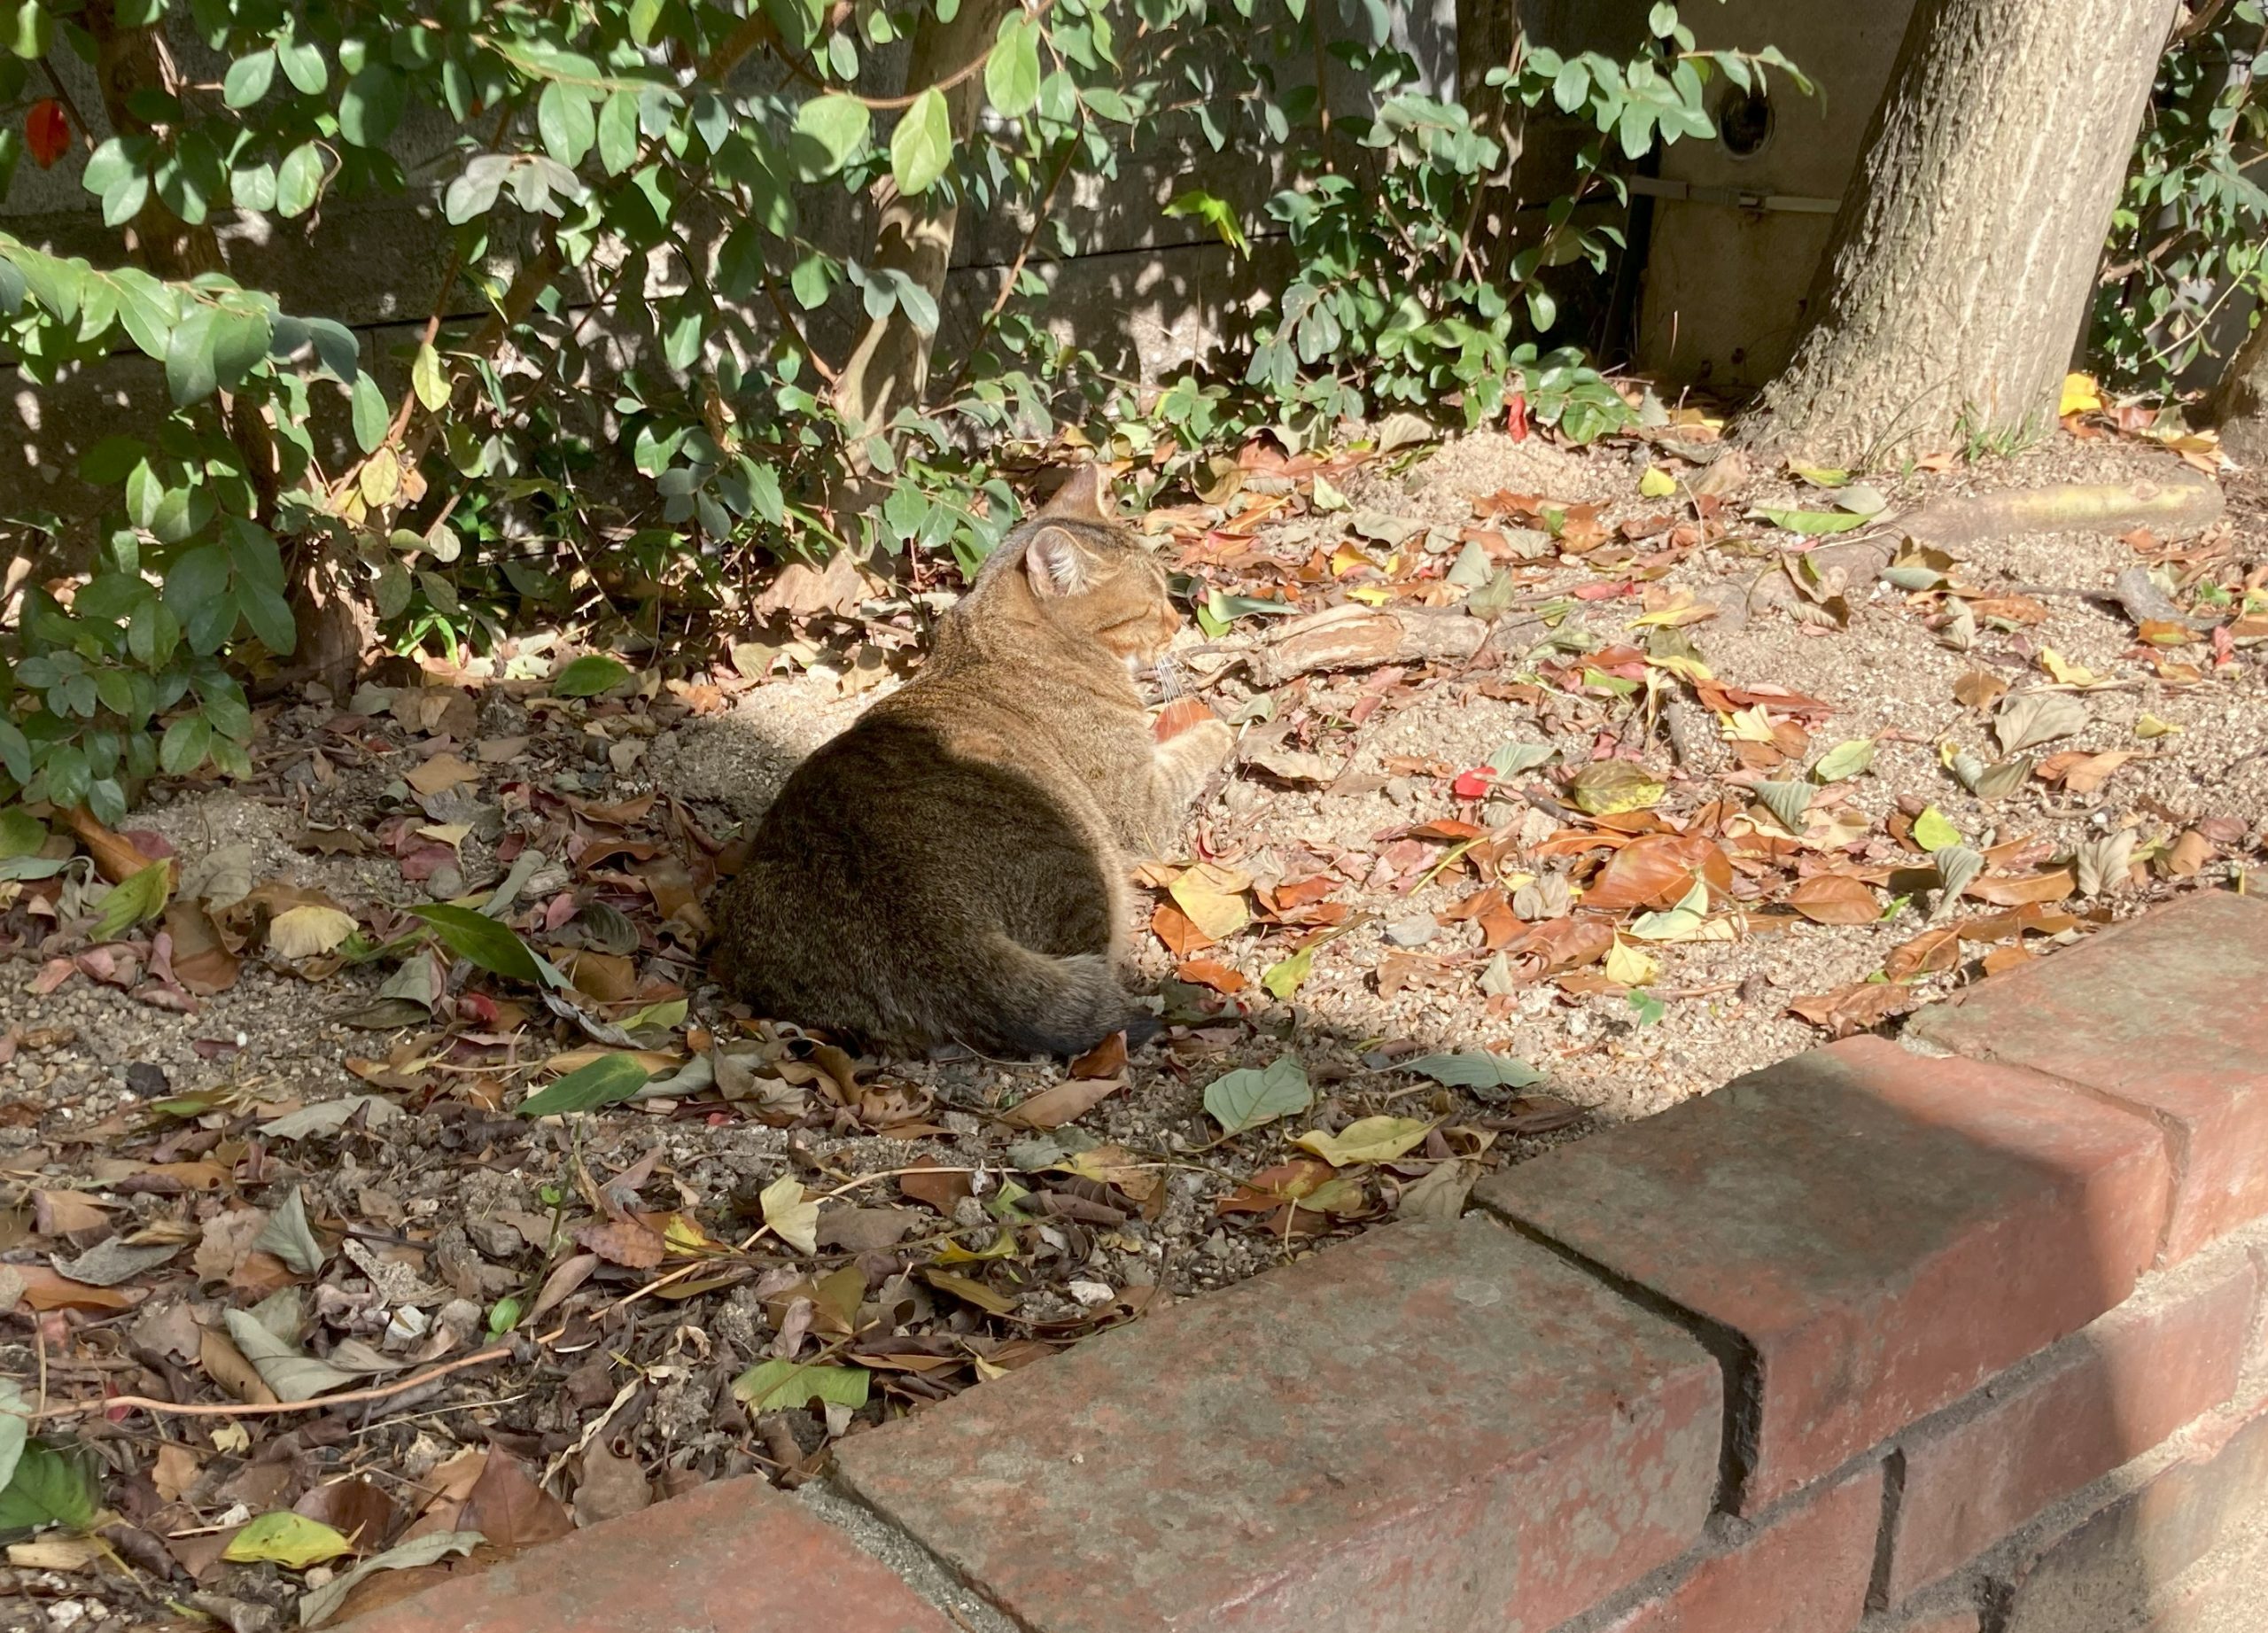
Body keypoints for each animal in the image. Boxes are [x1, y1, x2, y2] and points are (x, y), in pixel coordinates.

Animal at [711, 471, 1233, 1056]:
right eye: (1152, 604)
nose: (1179, 621)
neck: (993, 644)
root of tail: (936, 929)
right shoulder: (1141, 804)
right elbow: (1194, 748)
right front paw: (1220, 722)